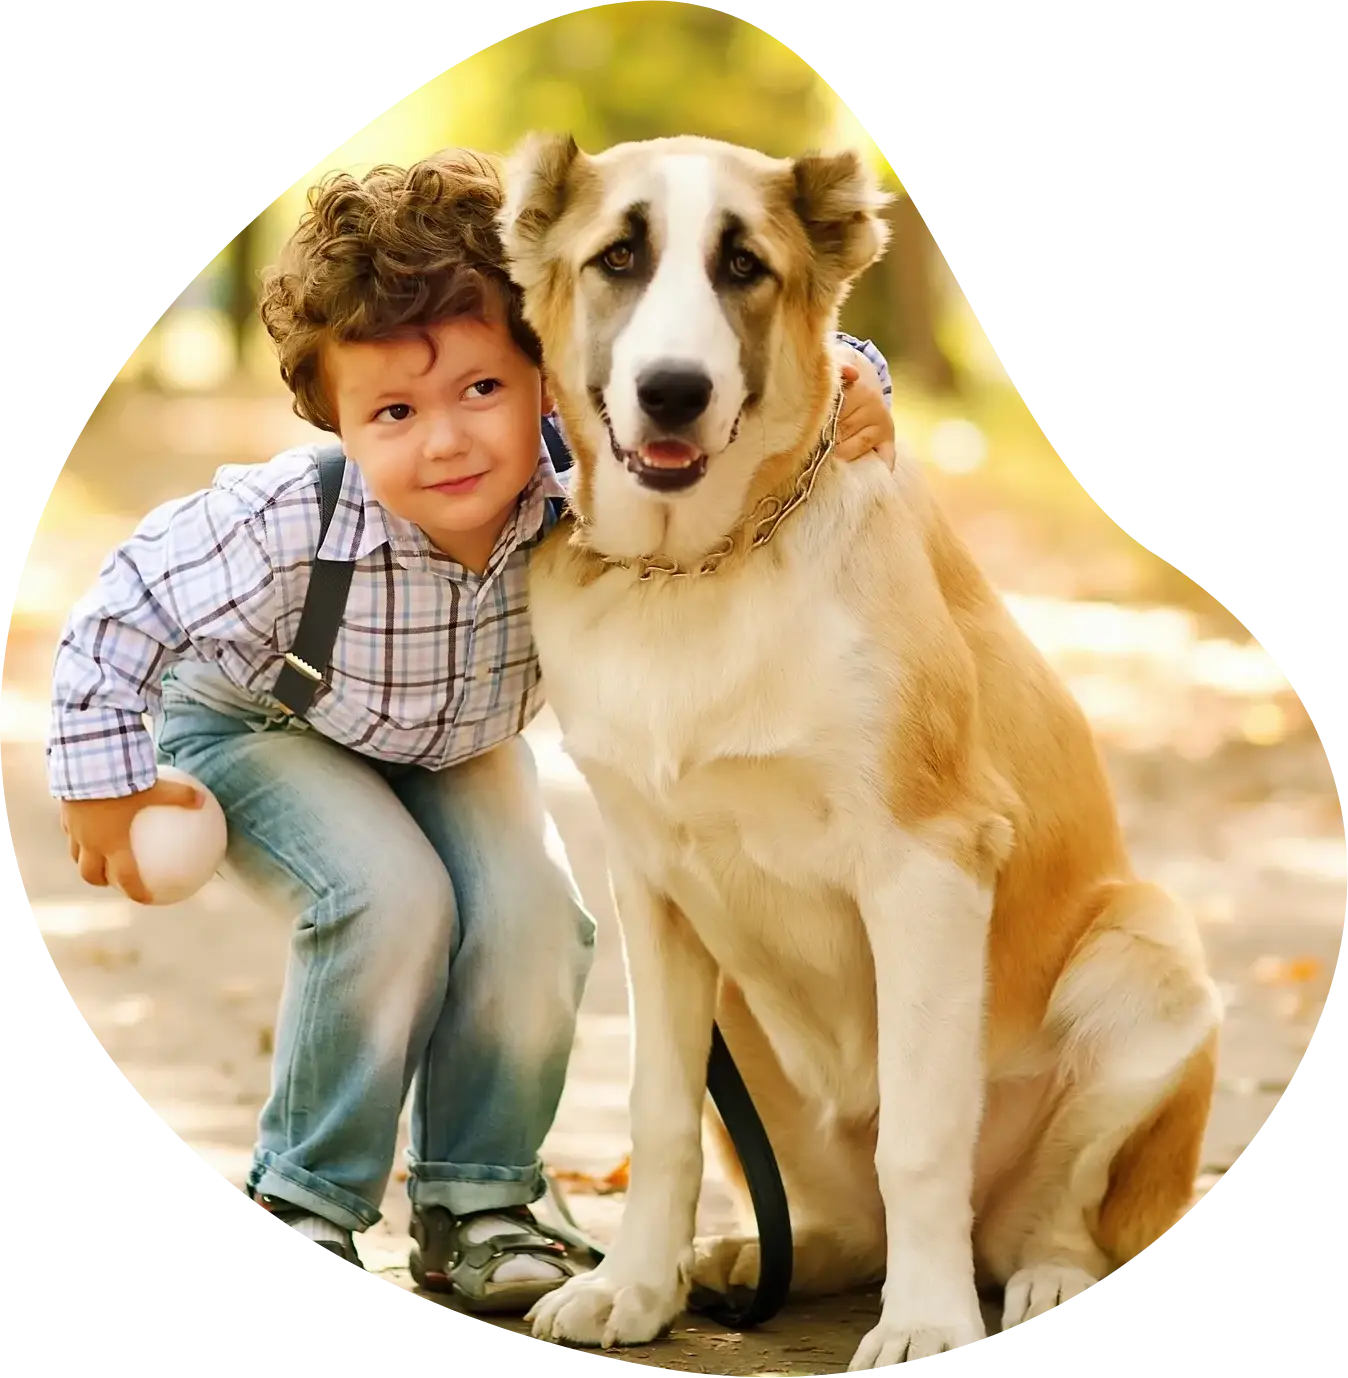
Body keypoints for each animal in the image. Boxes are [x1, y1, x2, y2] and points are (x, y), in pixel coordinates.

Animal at [498, 134, 1223, 1372]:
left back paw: (1035, 1277)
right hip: (743, 1018)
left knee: (1059, 1215)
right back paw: (742, 1259)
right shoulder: (651, 884)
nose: (674, 390)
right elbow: (655, 1110)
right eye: (619, 258)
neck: (698, 574)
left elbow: (922, 1133)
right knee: (840, 1225)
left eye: (743, 266)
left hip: (1150, 958)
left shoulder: (927, 866)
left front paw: (925, 1320)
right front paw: (631, 1288)